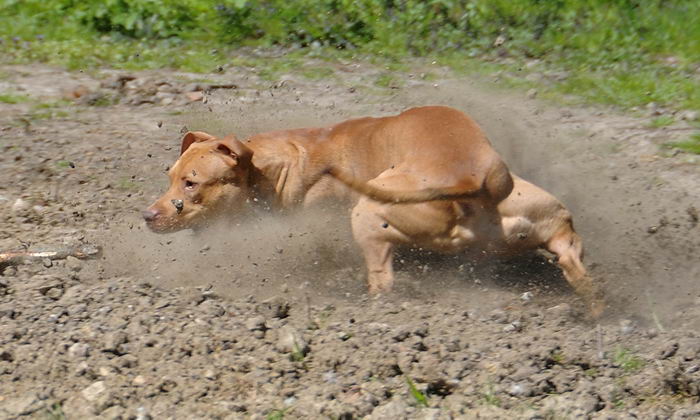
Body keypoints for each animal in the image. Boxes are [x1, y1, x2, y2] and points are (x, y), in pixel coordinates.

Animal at [145, 106, 604, 316]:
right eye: (170, 176)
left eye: (191, 183)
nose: (149, 216)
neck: (276, 168)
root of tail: (468, 176)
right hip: (540, 212)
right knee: (570, 253)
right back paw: (594, 304)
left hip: (368, 216)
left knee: (383, 280)